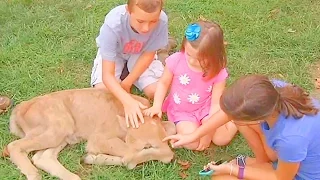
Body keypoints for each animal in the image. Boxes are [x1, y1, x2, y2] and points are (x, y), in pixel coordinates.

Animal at [2, 89, 176, 180]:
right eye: (145, 146)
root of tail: (19, 109)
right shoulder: (98, 139)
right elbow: (129, 153)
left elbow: (169, 141)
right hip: (58, 127)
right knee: (14, 145)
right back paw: (33, 175)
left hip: (62, 133)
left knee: (42, 157)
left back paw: (73, 177)